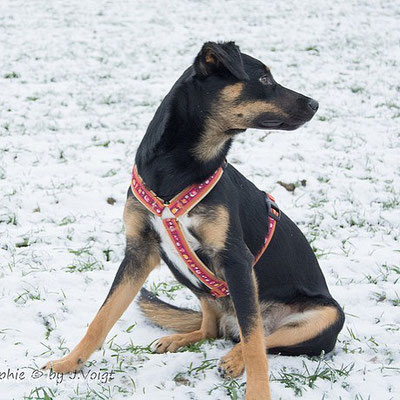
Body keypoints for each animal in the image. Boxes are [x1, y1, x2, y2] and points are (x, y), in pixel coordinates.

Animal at [43, 42, 344, 398]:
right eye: (264, 78)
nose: (315, 104)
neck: (179, 168)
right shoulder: (139, 251)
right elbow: (102, 317)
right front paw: (69, 363)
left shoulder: (236, 260)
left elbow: (256, 345)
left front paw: (257, 392)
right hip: (183, 270)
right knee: (216, 329)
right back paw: (182, 339)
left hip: (328, 315)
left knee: (259, 336)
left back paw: (233, 359)